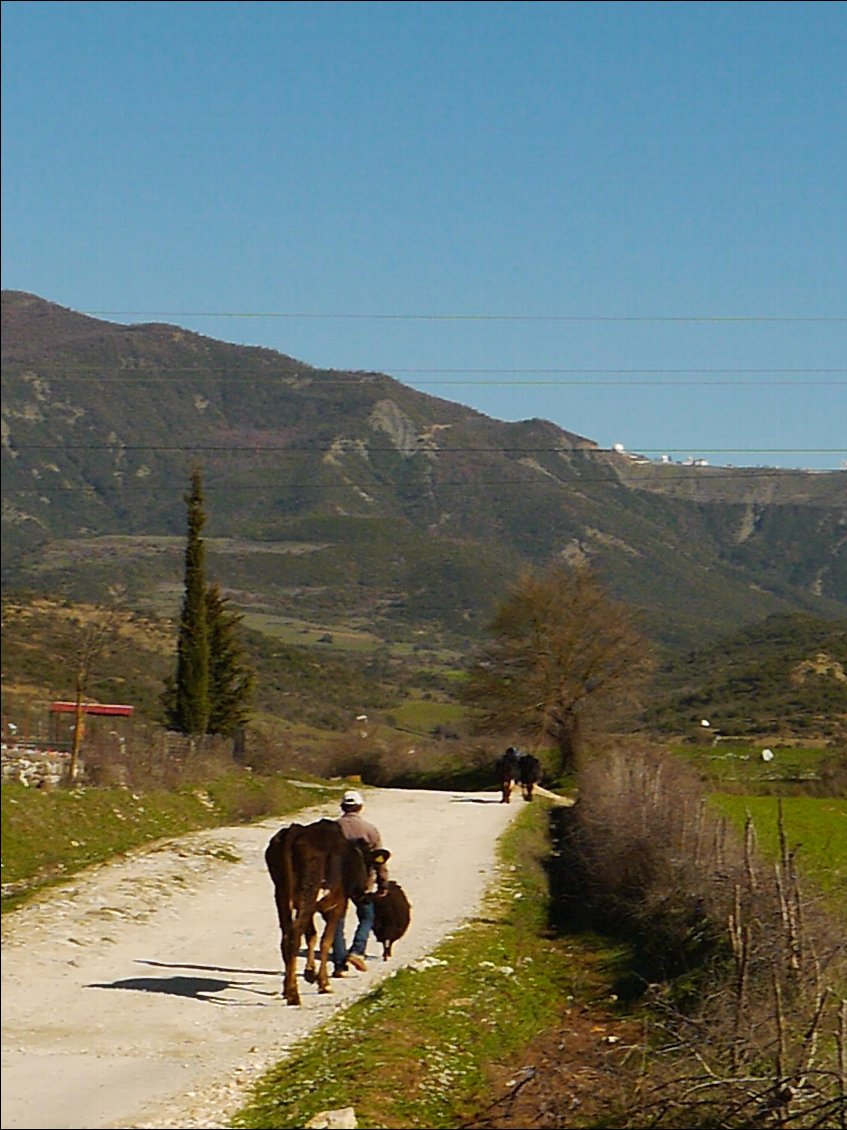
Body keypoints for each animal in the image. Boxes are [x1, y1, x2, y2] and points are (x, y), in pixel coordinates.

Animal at [265, 822, 390, 1007]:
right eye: (370, 864)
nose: (364, 893)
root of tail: (294, 832)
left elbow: (312, 936)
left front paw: (310, 972)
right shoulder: (337, 905)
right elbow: (326, 940)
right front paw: (323, 983)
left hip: (282, 894)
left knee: (286, 935)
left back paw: (287, 989)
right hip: (308, 891)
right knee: (295, 935)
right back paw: (293, 994)